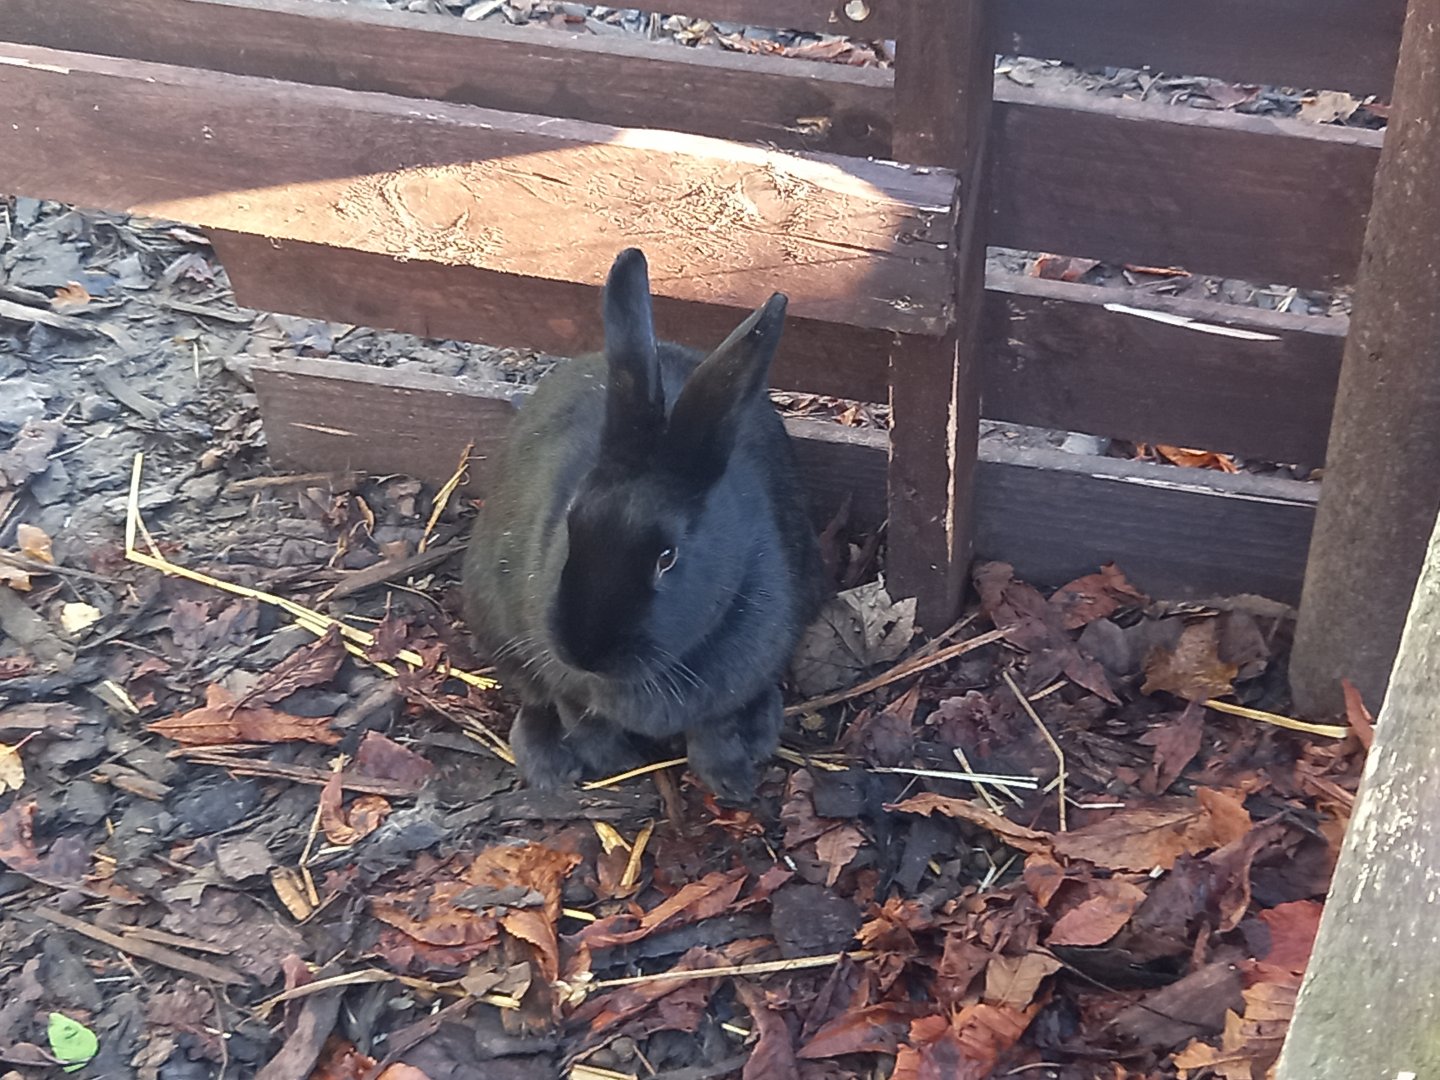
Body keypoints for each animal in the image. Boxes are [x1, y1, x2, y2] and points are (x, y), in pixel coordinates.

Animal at [461, 247, 825, 804]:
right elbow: (581, 717)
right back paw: (547, 767)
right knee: (533, 700)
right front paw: (615, 765)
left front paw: (731, 783)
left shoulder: (731, 686)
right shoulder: (563, 679)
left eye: (667, 558)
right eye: (571, 524)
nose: (585, 651)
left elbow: (714, 734)